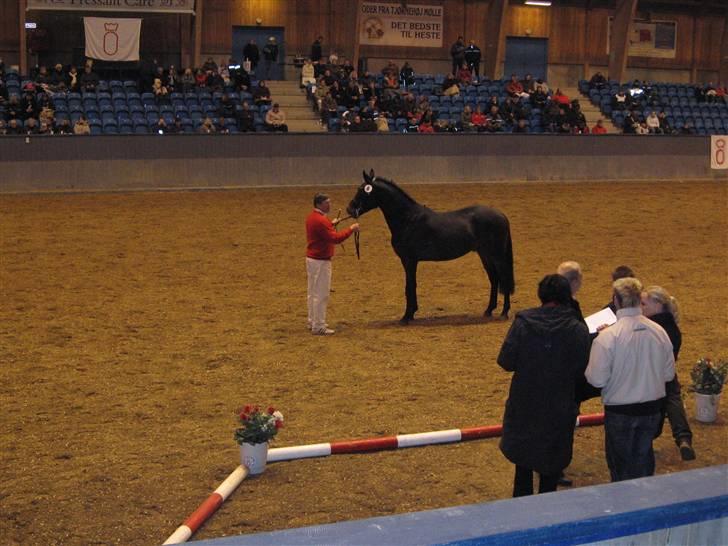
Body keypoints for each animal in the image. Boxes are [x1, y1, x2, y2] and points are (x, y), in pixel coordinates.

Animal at [348, 170, 516, 320]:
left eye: (362, 190)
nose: (349, 209)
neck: (408, 219)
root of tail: (501, 215)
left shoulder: (409, 260)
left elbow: (409, 286)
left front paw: (407, 316)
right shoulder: (410, 261)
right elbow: (412, 285)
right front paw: (412, 313)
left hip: (497, 256)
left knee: (504, 277)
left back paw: (504, 313)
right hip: (485, 255)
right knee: (494, 279)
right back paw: (488, 310)